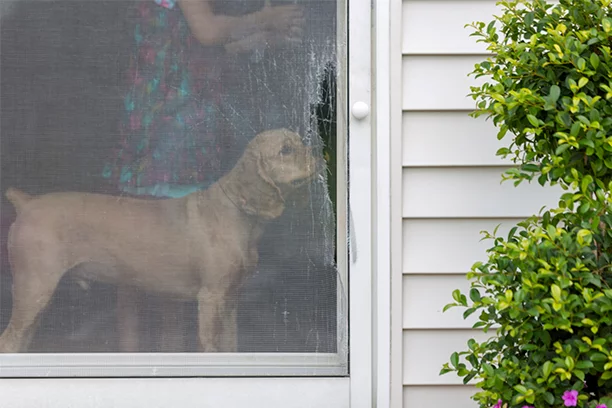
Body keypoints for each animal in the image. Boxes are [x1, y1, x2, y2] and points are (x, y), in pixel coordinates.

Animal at [0, 129, 318, 352]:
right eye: (285, 150)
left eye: (299, 141)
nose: (314, 152)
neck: (238, 212)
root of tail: (27, 203)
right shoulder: (211, 298)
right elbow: (211, 347)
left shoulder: (230, 300)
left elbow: (232, 346)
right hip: (34, 289)